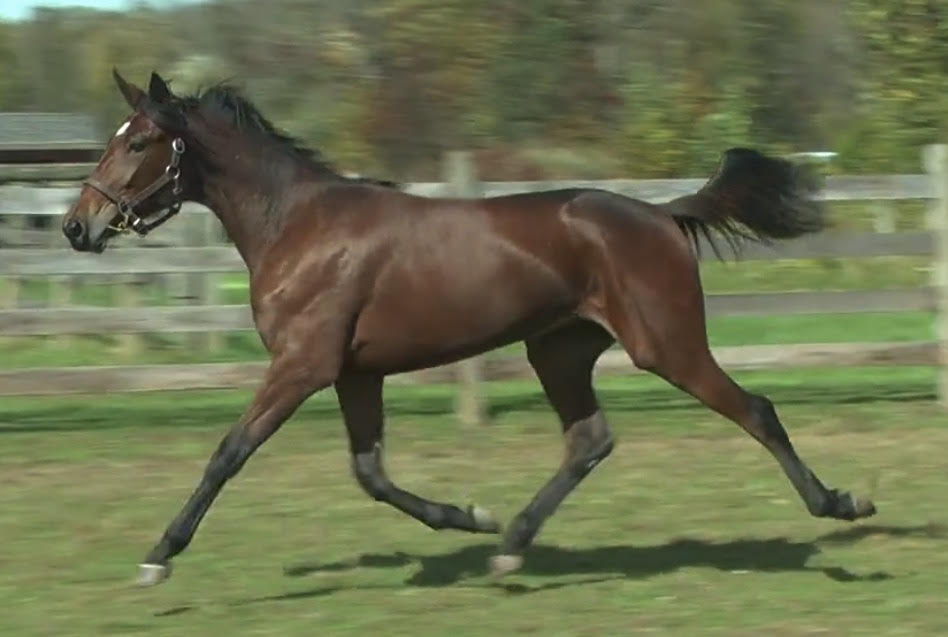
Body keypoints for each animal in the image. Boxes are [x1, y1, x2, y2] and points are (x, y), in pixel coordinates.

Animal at [62, 70, 876, 587]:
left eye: (138, 143)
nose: (78, 225)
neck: (297, 227)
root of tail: (662, 213)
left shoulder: (302, 365)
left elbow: (229, 453)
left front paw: (158, 554)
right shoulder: (355, 372)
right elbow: (371, 474)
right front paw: (468, 516)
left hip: (665, 343)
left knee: (755, 410)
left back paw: (840, 505)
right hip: (559, 349)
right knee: (590, 439)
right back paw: (509, 545)